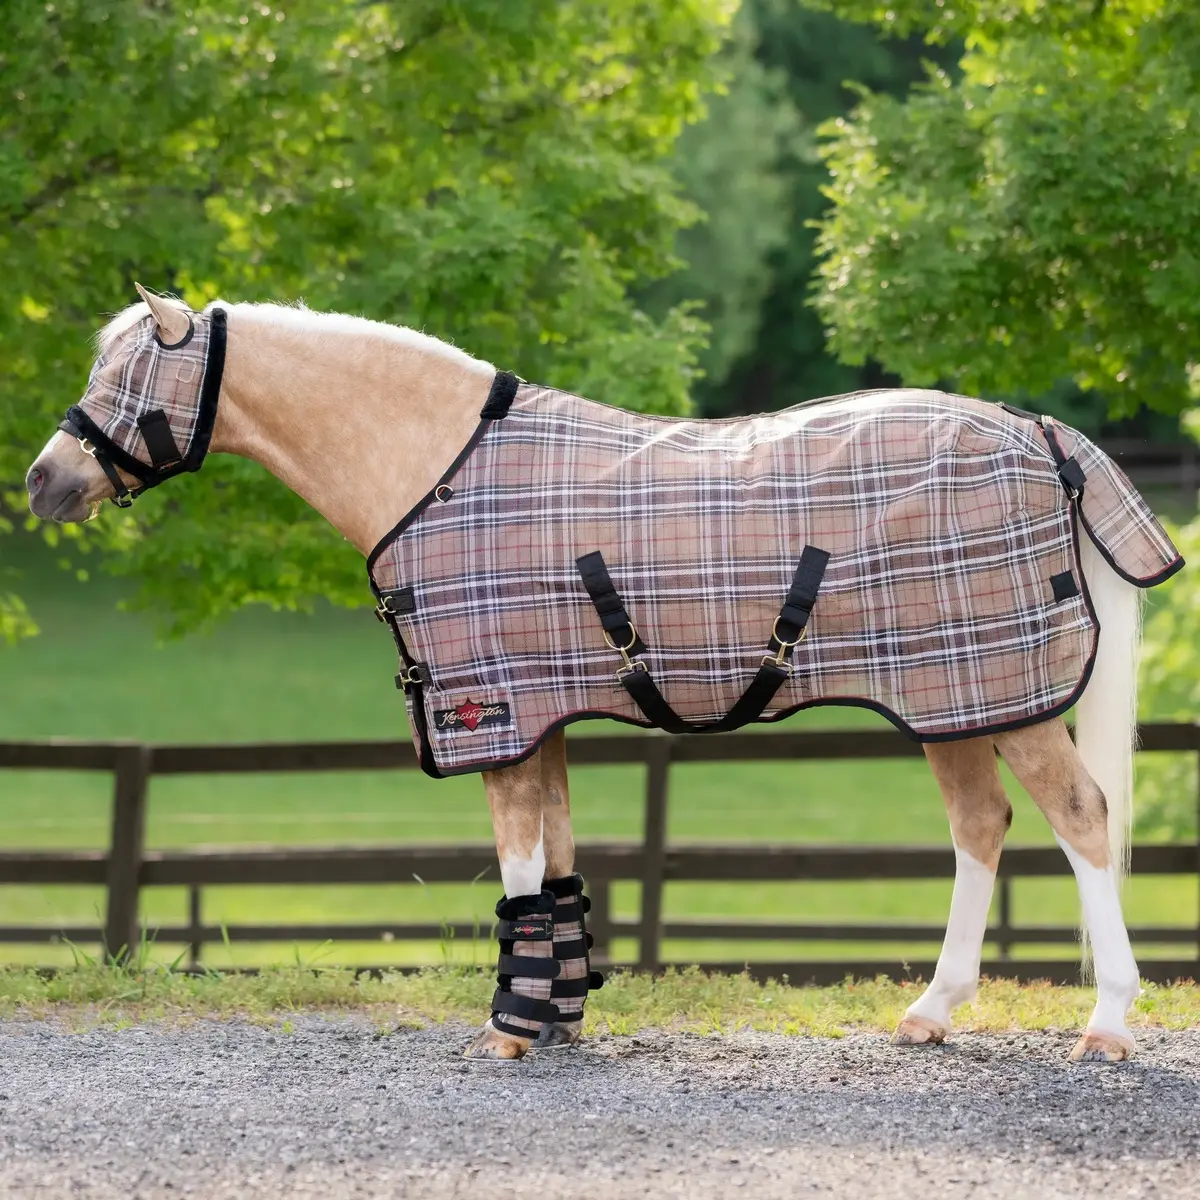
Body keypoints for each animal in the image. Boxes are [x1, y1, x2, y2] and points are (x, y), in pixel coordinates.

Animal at [25, 286, 1184, 1064]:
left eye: (126, 381)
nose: (43, 481)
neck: (435, 471)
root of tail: (1036, 431)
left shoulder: (492, 714)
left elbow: (517, 872)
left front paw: (510, 1030)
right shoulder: (540, 717)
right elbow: (559, 870)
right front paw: (557, 1017)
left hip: (1003, 701)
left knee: (1081, 819)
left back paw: (1107, 1022)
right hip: (952, 700)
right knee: (981, 827)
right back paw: (932, 1013)